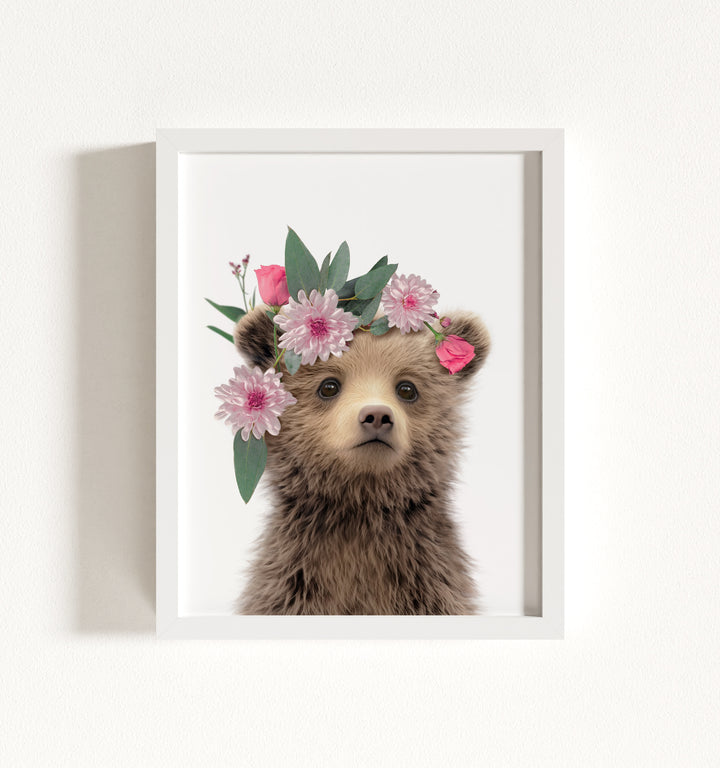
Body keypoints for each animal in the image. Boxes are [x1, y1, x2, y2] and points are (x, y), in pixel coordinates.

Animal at [232, 306, 491, 615]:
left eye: (407, 388)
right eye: (328, 386)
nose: (377, 415)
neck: (360, 509)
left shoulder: (429, 583)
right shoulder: (292, 584)